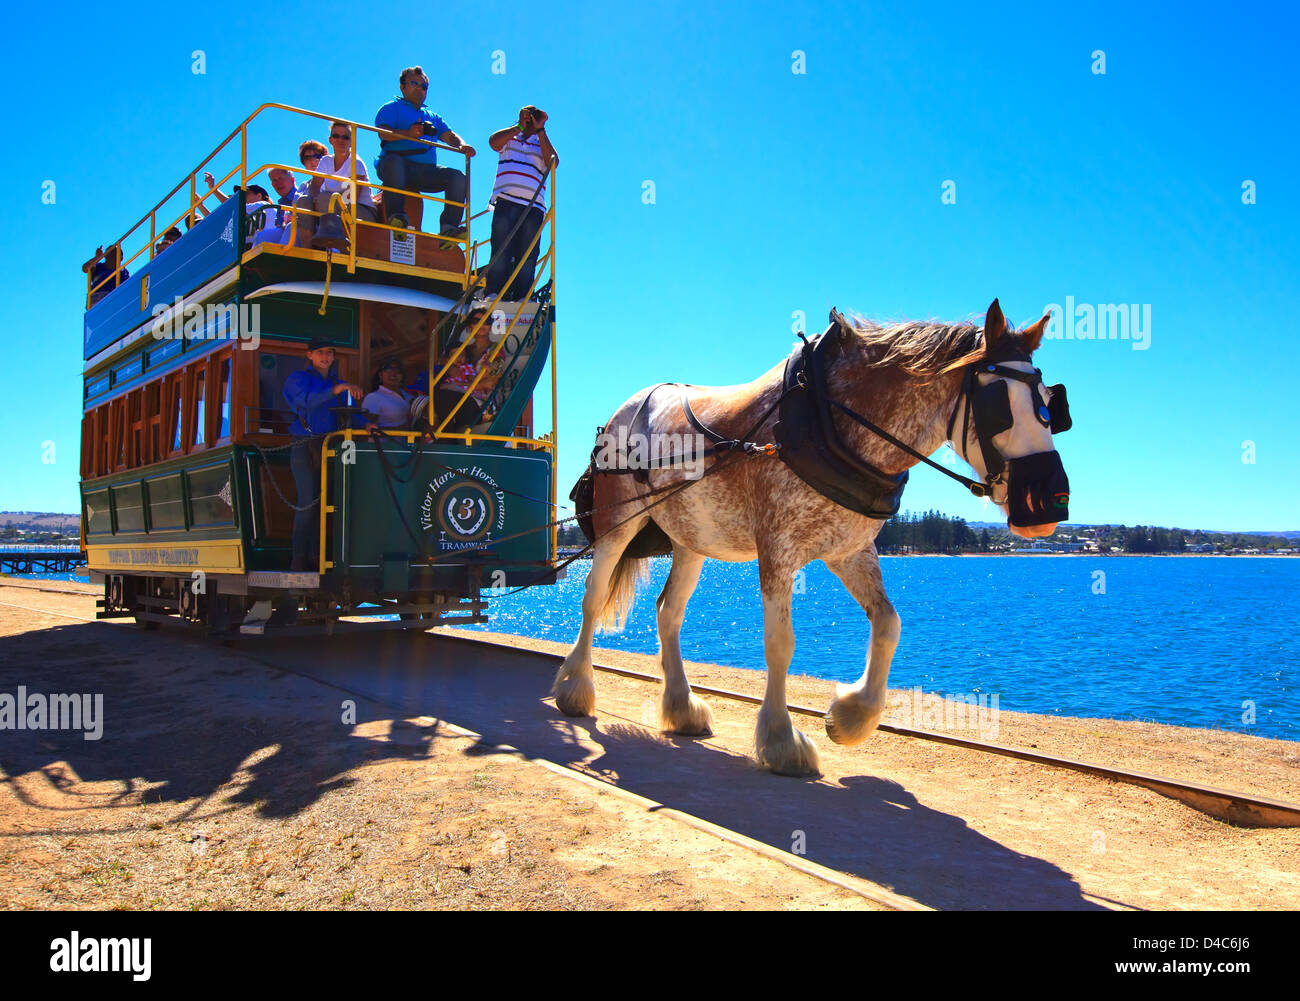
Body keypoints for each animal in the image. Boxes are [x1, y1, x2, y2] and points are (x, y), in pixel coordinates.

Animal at [553, 298, 1071, 776]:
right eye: (998, 402)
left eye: (1052, 405)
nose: (1051, 500)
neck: (825, 417)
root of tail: (629, 406)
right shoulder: (777, 551)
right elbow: (781, 644)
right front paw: (782, 740)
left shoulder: (851, 550)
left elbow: (889, 624)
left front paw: (852, 716)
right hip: (619, 521)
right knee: (592, 596)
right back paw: (575, 688)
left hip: (691, 540)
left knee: (669, 612)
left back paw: (681, 708)